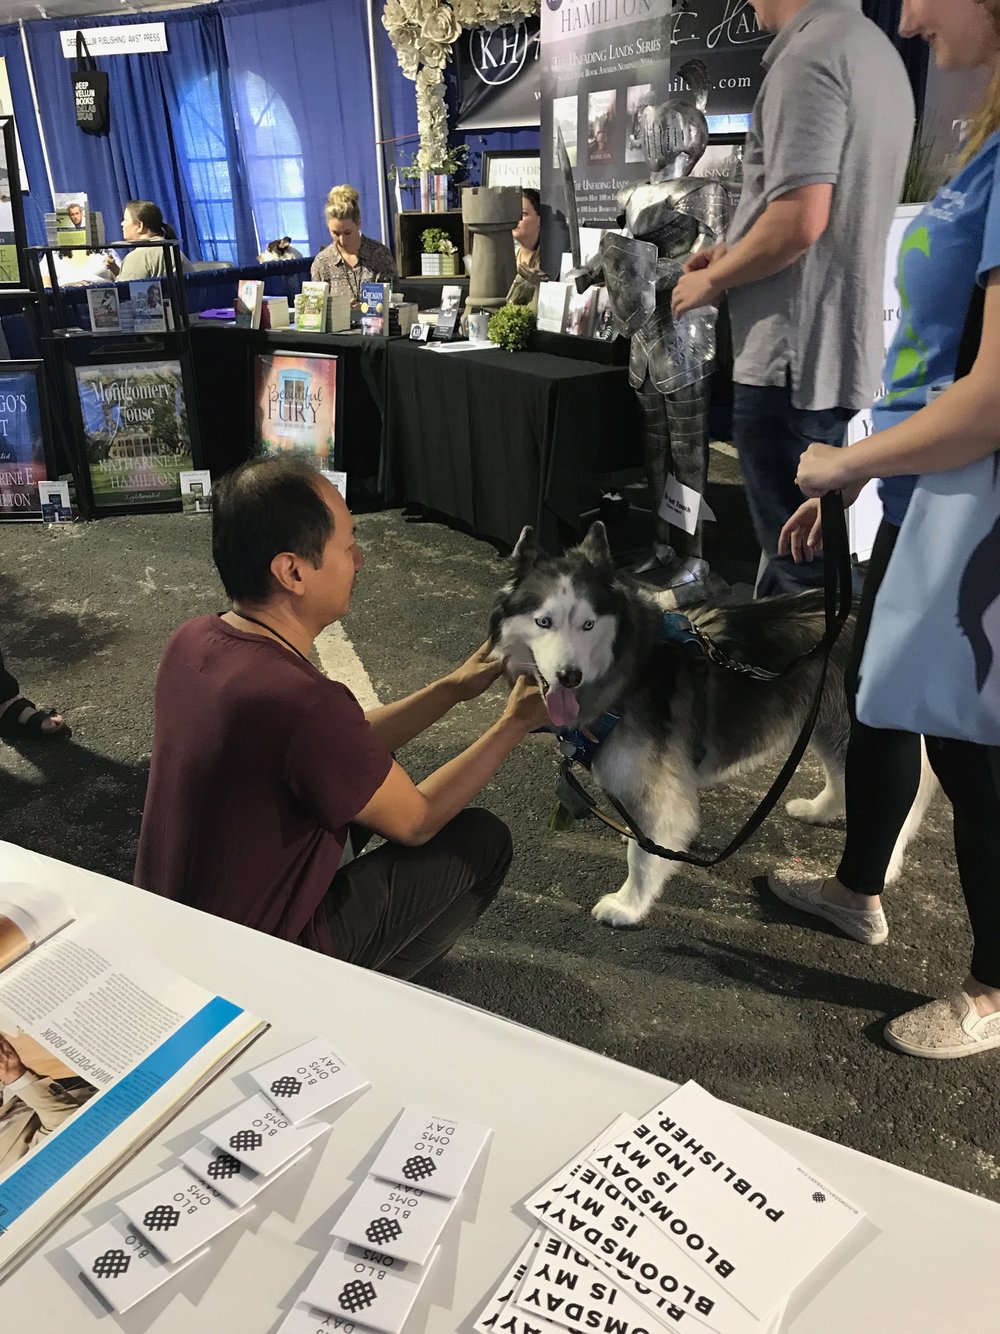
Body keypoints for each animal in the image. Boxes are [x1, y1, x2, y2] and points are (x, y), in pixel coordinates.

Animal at [490, 520, 938, 928]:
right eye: (544, 621)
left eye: (588, 624)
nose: (569, 676)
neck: (628, 670)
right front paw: (631, 833)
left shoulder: (662, 787)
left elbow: (644, 855)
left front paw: (628, 905)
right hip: (826, 723)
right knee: (843, 777)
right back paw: (817, 809)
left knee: (904, 798)